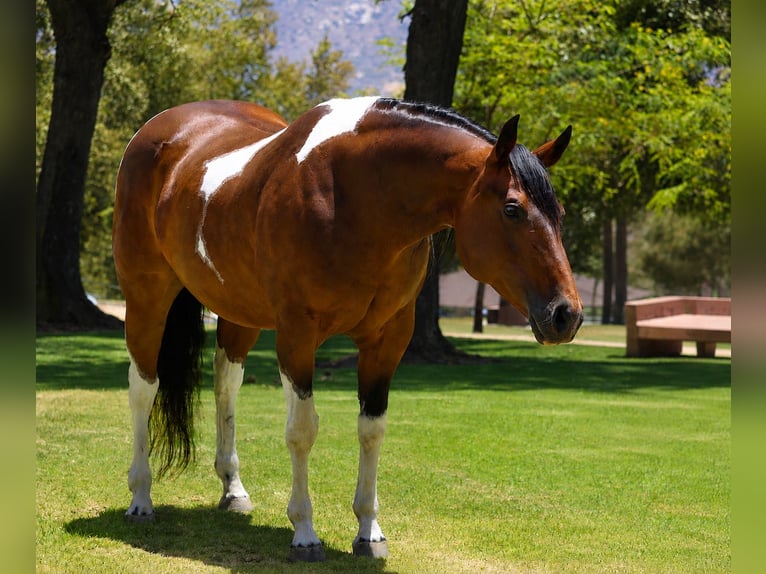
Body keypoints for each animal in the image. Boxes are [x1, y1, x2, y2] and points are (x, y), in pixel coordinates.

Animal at [112, 96, 583, 562]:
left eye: (559, 213)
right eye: (512, 209)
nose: (567, 314)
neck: (357, 198)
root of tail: (162, 128)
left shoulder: (387, 340)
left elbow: (371, 430)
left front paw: (369, 533)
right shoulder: (297, 335)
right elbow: (302, 430)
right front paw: (305, 533)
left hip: (239, 314)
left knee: (226, 384)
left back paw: (233, 489)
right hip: (147, 297)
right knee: (143, 388)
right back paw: (141, 499)